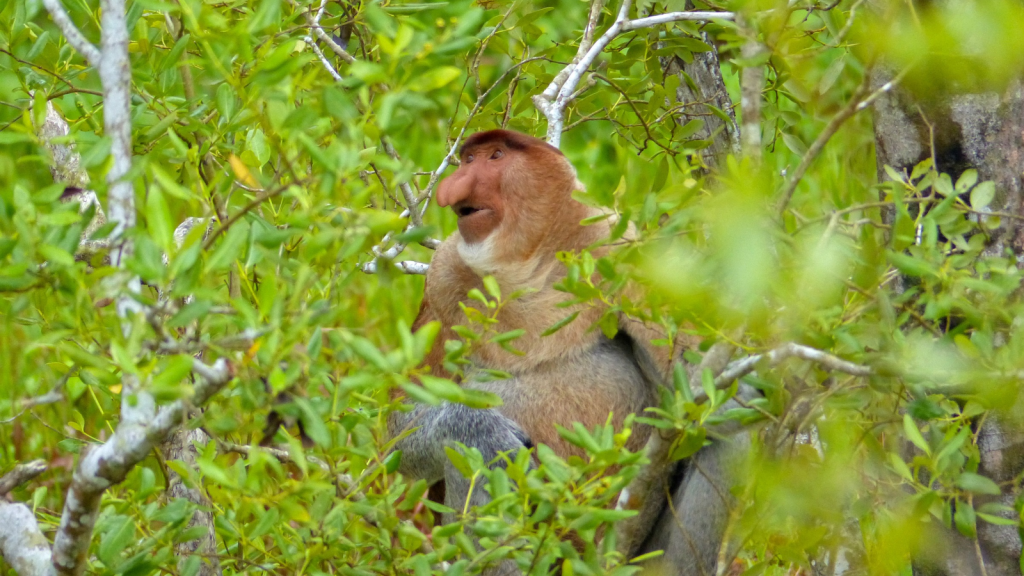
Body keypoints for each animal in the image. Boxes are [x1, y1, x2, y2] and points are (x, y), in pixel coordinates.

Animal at [389, 130, 737, 573]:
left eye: (495, 156)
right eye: (467, 160)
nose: (454, 186)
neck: (529, 270)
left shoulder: (621, 248)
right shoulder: (443, 278)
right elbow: (400, 430)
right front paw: (481, 429)